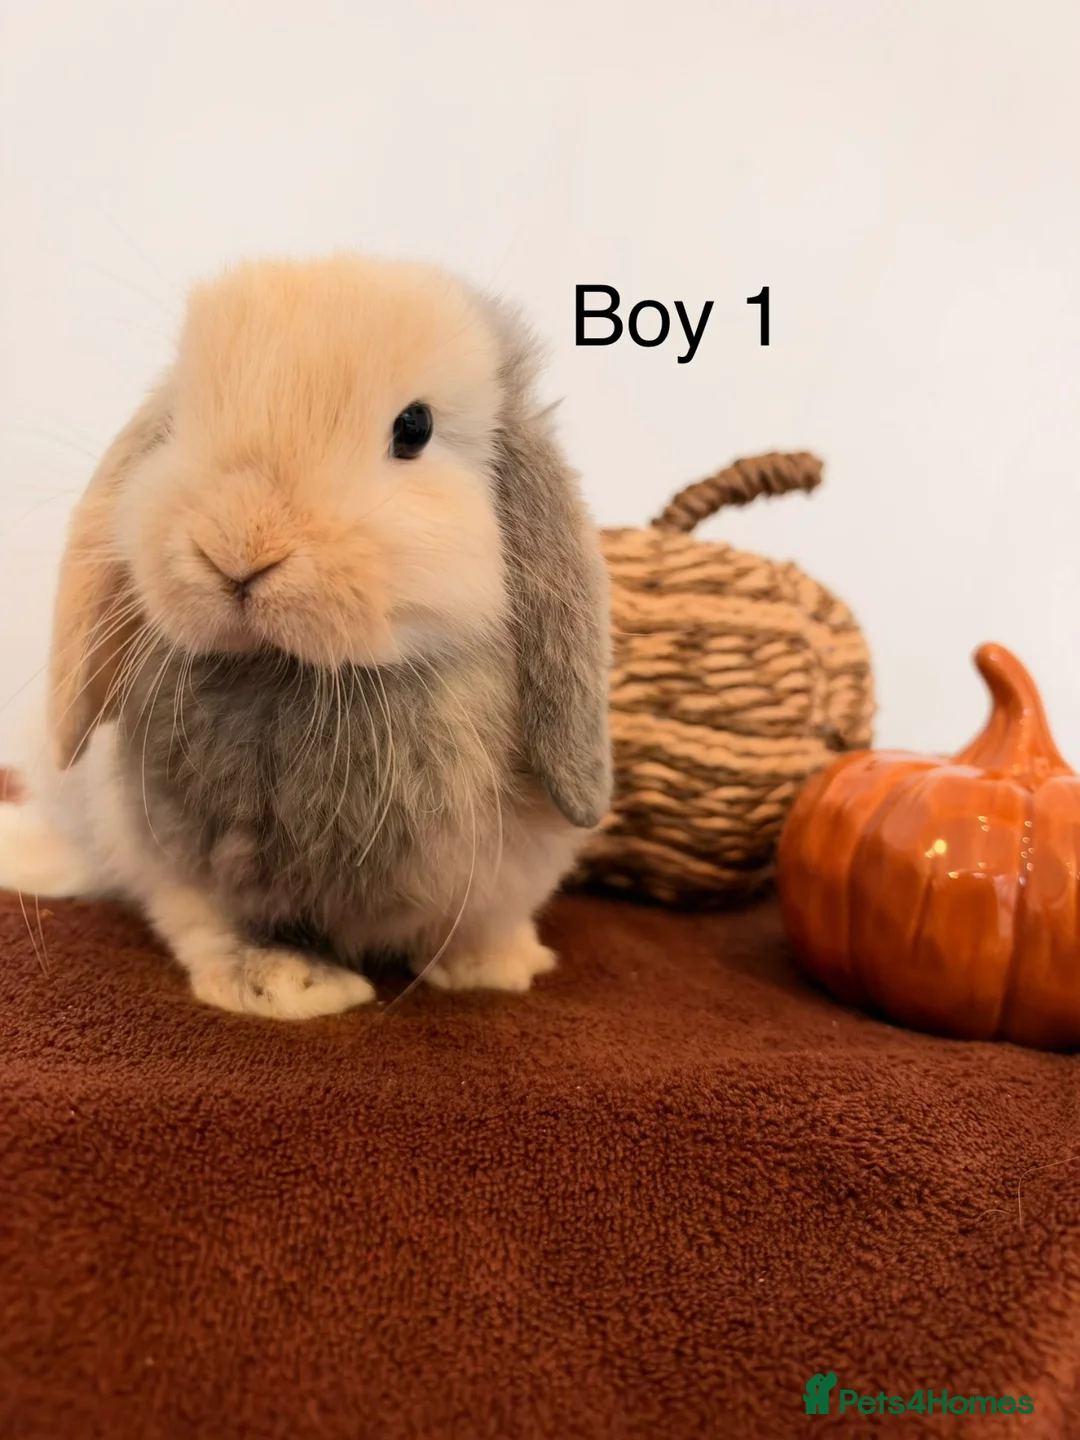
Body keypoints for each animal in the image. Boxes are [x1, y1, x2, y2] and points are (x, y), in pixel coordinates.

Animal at [0, 253, 612, 1020]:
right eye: (179, 423)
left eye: (415, 428)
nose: (237, 548)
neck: (299, 676)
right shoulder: (180, 856)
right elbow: (205, 919)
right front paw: (286, 984)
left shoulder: (510, 870)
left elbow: (487, 920)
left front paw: (492, 970)